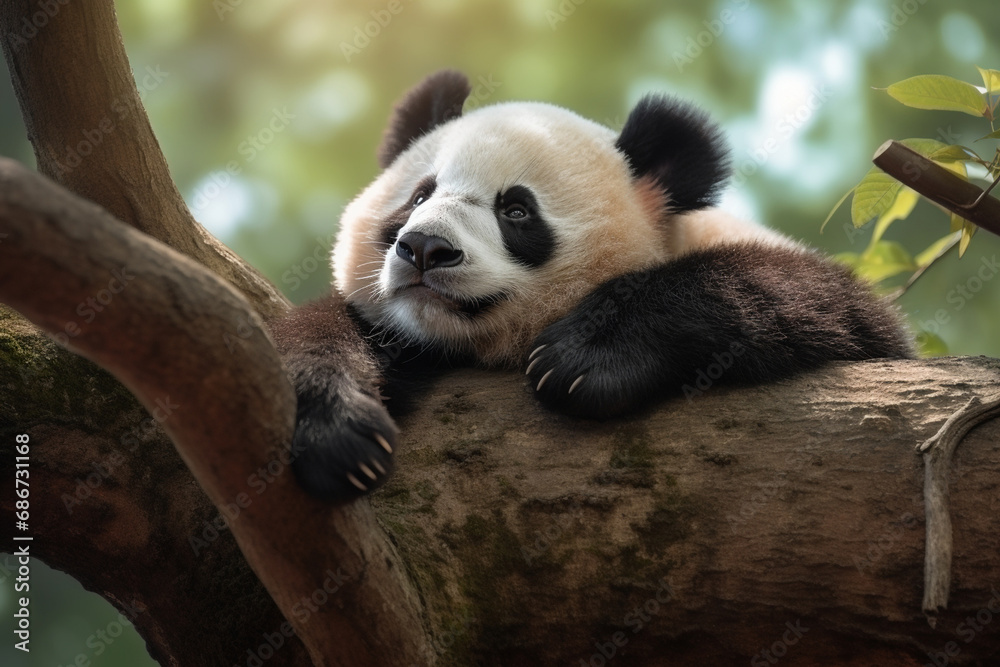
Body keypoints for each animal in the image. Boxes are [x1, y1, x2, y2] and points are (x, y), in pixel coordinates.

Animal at [271, 70, 912, 502]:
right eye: (419, 196)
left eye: (517, 211)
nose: (425, 249)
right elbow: (321, 333)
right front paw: (339, 438)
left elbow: (818, 302)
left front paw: (581, 361)